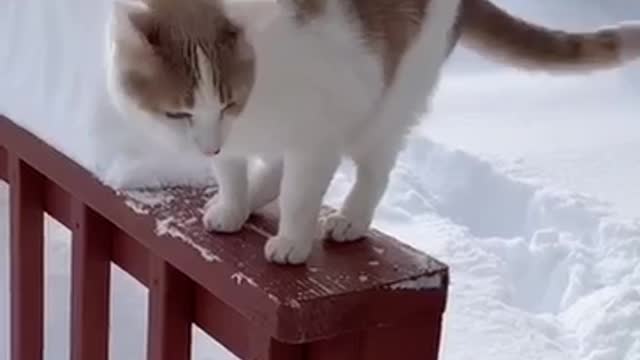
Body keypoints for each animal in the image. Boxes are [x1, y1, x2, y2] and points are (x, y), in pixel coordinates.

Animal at [106, 0, 640, 264]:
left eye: (228, 100)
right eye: (178, 113)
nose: (209, 143)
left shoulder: (321, 115)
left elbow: (301, 192)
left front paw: (292, 241)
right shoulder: (239, 135)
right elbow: (234, 170)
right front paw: (235, 204)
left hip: (390, 97)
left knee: (374, 167)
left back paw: (350, 218)